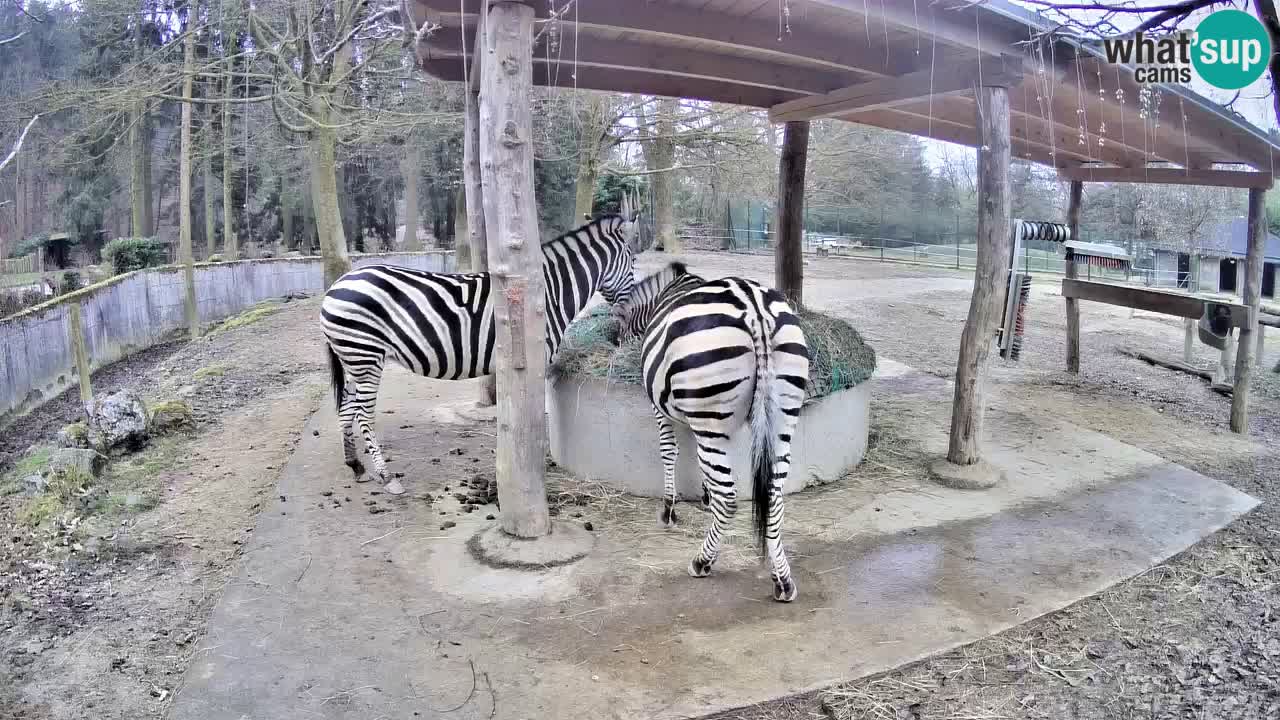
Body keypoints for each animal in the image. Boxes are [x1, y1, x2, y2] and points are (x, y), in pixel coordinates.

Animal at [320, 212, 640, 491]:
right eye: (635, 261)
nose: (626, 315)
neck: (549, 291)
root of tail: (335, 286)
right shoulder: (535, 360)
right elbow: (531, 415)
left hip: (353, 359)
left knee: (346, 407)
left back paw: (356, 466)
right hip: (365, 355)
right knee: (362, 414)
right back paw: (386, 477)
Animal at [609, 262, 808, 599]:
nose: (614, 343)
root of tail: (755, 309)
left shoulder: (662, 409)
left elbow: (669, 451)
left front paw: (669, 510)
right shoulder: (703, 421)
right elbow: (706, 469)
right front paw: (704, 497)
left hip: (712, 413)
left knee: (728, 498)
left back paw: (702, 562)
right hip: (781, 419)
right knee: (773, 496)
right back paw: (782, 579)